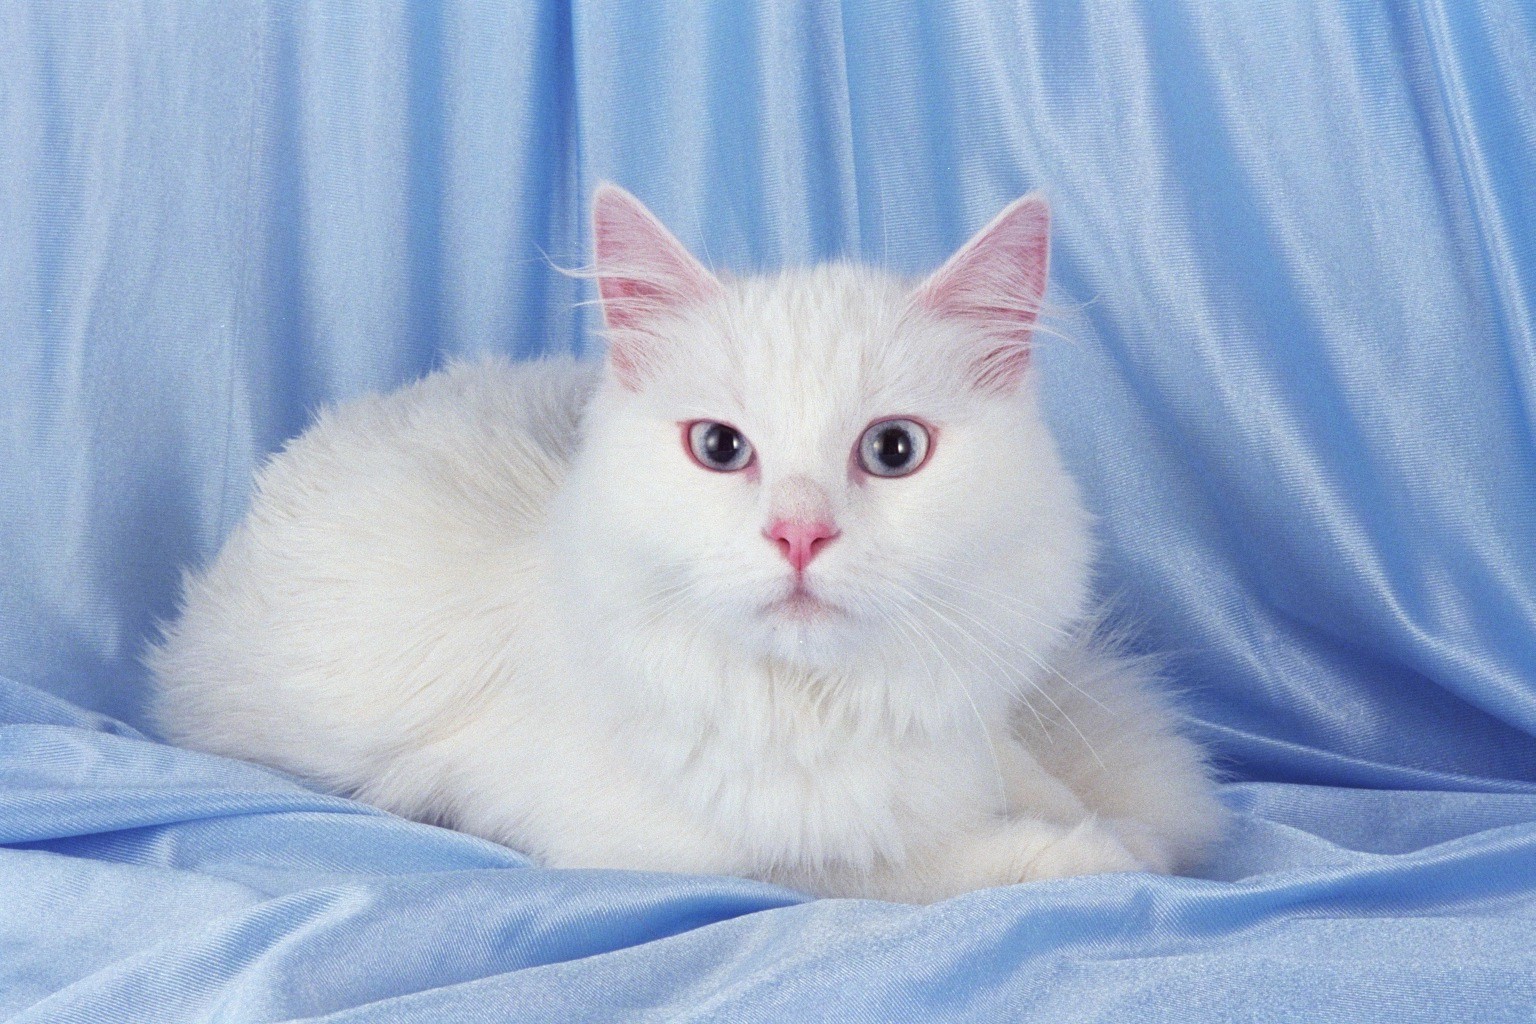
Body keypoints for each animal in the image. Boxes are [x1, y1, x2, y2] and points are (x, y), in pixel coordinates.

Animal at [146, 186, 1222, 902]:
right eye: (719, 449)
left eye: (892, 451)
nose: (798, 532)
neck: (817, 706)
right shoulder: (694, 856)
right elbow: (894, 864)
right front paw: (1101, 849)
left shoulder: (966, 729)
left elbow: (1025, 776)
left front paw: (1109, 820)